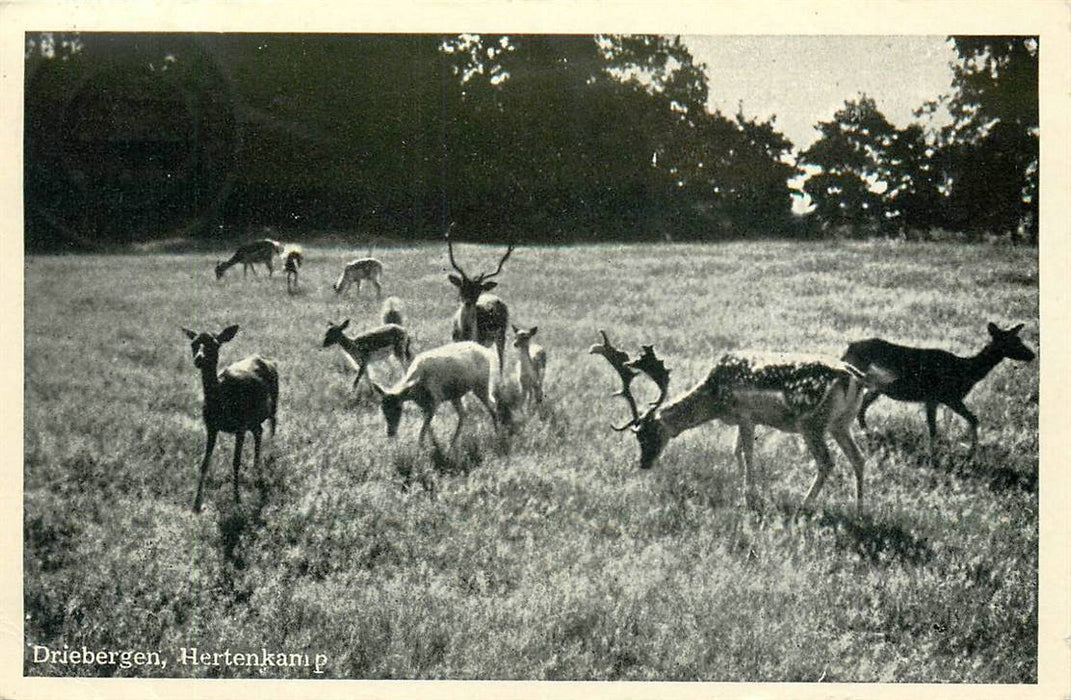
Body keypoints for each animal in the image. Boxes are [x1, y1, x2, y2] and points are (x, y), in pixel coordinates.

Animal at [370, 342, 499, 451]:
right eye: (382, 408)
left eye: (399, 408)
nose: (390, 433)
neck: (417, 390)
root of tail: (487, 352)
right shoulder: (423, 405)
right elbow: (428, 429)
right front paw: (434, 446)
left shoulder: (435, 400)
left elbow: (423, 430)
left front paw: (421, 450)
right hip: (455, 395)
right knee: (463, 414)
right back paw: (452, 445)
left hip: (481, 385)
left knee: (492, 406)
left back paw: (498, 435)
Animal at [441, 229, 511, 372]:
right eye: (461, 287)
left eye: (478, 290)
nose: (468, 302)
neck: (466, 334)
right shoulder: (454, 340)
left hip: (501, 334)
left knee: (501, 360)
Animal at [591, 329, 873, 515]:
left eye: (648, 434)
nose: (643, 463)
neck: (715, 400)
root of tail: (854, 376)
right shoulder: (742, 419)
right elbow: (736, 451)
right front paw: (741, 491)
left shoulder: (746, 415)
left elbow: (747, 453)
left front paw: (751, 498)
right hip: (840, 423)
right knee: (858, 458)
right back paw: (860, 511)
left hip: (812, 422)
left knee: (827, 462)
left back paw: (803, 507)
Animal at [839, 323, 1032, 460]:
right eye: (1011, 341)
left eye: (1019, 339)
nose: (1032, 355)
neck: (966, 370)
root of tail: (847, 349)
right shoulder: (942, 396)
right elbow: (938, 427)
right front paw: (947, 454)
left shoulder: (939, 399)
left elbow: (967, 420)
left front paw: (968, 451)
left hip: (876, 388)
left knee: (862, 407)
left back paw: (867, 433)